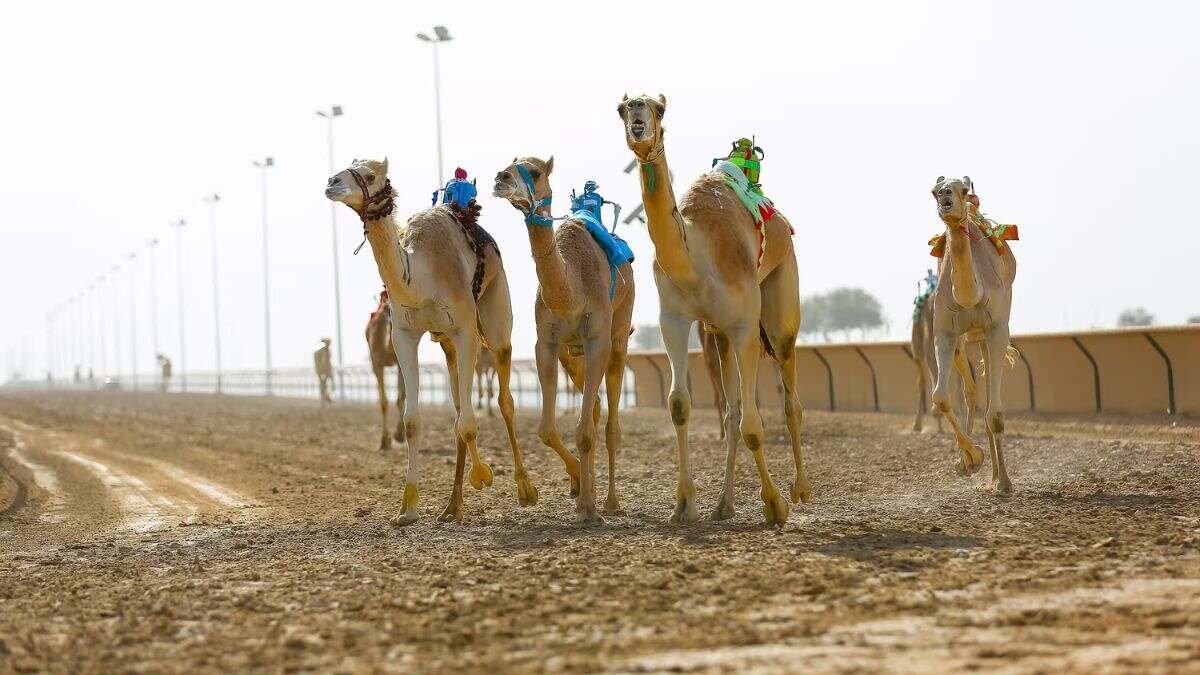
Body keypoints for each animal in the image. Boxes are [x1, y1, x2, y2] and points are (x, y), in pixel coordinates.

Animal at [493, 159, 635, 521]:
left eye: (534, 170)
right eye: (508, 165)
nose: (501, 179)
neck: (571, 291)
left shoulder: (598, 338)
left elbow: (584, 430)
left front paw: (587, 507)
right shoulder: (547, 342)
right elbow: (547, 429)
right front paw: (579, 487)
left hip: (618, 337)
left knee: (611, 424)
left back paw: (611, 501)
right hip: (573, 355)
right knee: (595, 408)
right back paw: (593, 488)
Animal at [618, 94, 810, 526]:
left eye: (658, 108)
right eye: (621, 109)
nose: (637, 115)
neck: (695, 258)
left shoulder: (743, 325)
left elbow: (755, 423)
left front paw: (775, 505)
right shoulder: (673, 320)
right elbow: (680, 405)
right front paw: (685, 505)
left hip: (780, 303)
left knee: (790, 399)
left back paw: (802, 489)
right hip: (718, 333)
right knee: (731, 412)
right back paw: (724, 505)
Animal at [928, 176, 1018, 495]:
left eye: (964, 190)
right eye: (934, 191)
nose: (945, 197)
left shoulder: (997, 328)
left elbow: (996, 414)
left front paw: (1004, 483)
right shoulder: (944, 331)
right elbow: (941, 398)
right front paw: (971, 458)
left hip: (988, 335)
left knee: (989, 394)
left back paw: (996, 477)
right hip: (966, 339)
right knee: (971, 392)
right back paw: (974, 465)